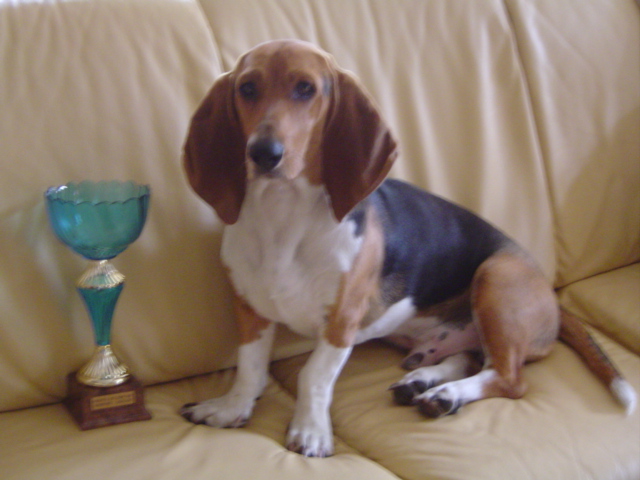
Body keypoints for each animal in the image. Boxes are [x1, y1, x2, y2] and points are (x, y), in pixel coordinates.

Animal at [180, 39, 636, 457]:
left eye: (305, 89)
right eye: (248, 88)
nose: (263, 153)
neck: (282, 216)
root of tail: (550, 294)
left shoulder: (342, 321)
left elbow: (313, 376)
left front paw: (310, 431)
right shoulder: (248, 309)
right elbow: (250, 368)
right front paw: (231, 408)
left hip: (496, 278)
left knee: (509, 378)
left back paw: (446, 394)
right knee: (472, 358)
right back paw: (424, 381)